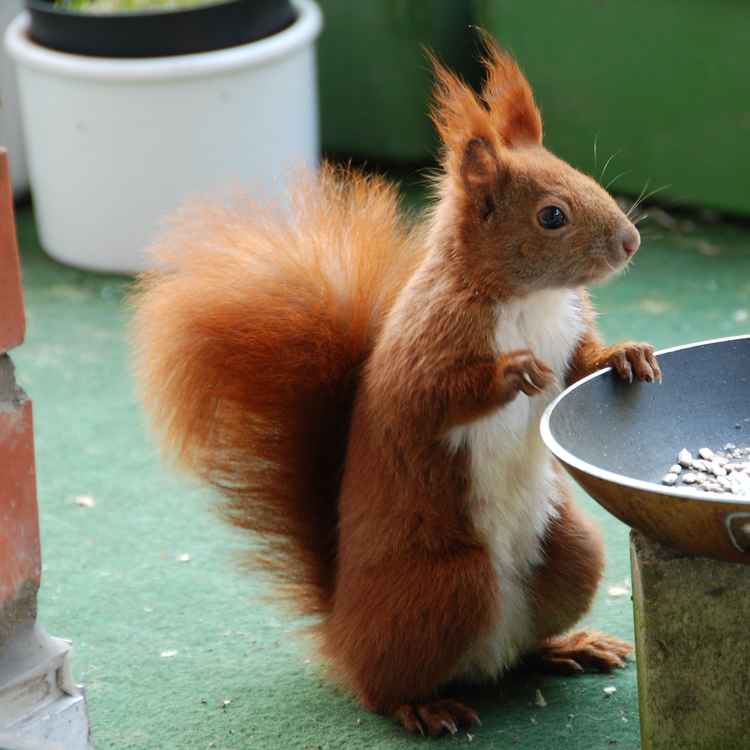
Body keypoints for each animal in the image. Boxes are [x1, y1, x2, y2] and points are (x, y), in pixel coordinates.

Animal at [131, 38, 661, 737]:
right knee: (382, 687)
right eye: (552, 215)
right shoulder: (424, 348)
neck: (530, 301)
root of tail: (343, 631)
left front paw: (627, 354)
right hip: (448, 582)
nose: (630, 242)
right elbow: (432, 399)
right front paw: (513, 373)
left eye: (588, 179)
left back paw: (567, 646)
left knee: (520, 651)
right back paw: (422, 705)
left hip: (571, 552)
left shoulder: (569, 331)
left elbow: (580, 364)